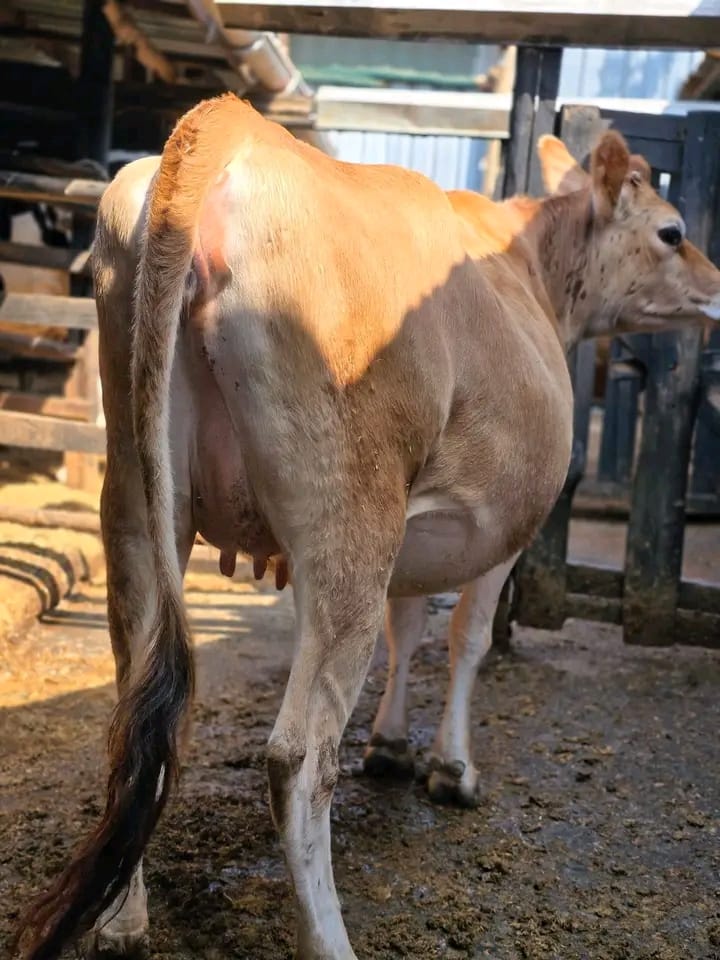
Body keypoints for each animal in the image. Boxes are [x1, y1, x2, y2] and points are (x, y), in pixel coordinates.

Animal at [13, 94, 720, 960]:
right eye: (672, 232)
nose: (717, 287)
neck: (535, 267)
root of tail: (234, 125)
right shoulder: (506, 532)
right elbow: (465, 640)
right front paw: (452, 769)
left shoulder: (423, 534)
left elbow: (407, 624)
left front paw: (389, 743)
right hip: (351, 518)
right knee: (297, 756)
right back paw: (328, 938)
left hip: (140, 496)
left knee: (138, 713)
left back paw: (122, 918)